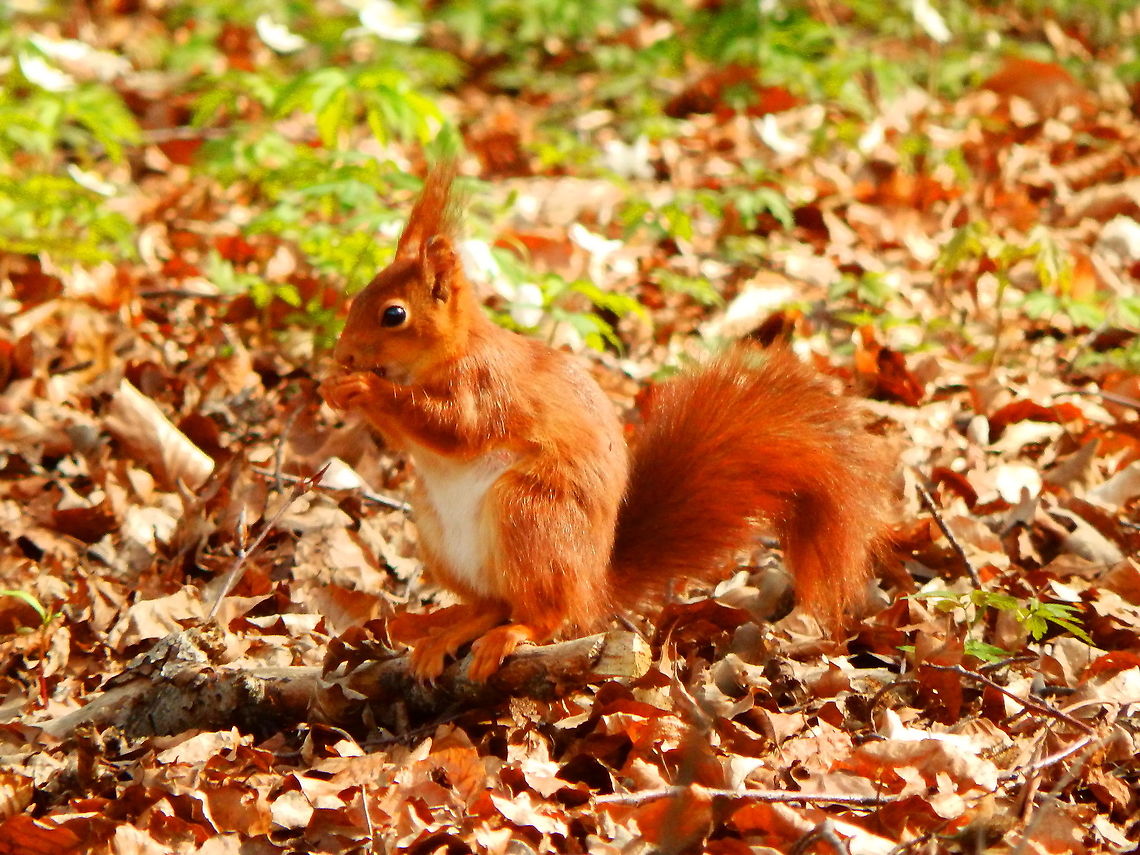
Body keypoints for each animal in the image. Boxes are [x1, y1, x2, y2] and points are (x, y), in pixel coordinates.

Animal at [320, 163, 892, 682]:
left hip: (532, 515)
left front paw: (365, 388)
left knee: (544, 615)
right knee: (492, 603)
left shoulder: (486, 388)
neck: (445, 355)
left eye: (394, 315)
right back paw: (450, 633)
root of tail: (594, 586)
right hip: (438, 532)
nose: (343, 355)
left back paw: (511, 636)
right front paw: (333, 387)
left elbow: (455, 428)